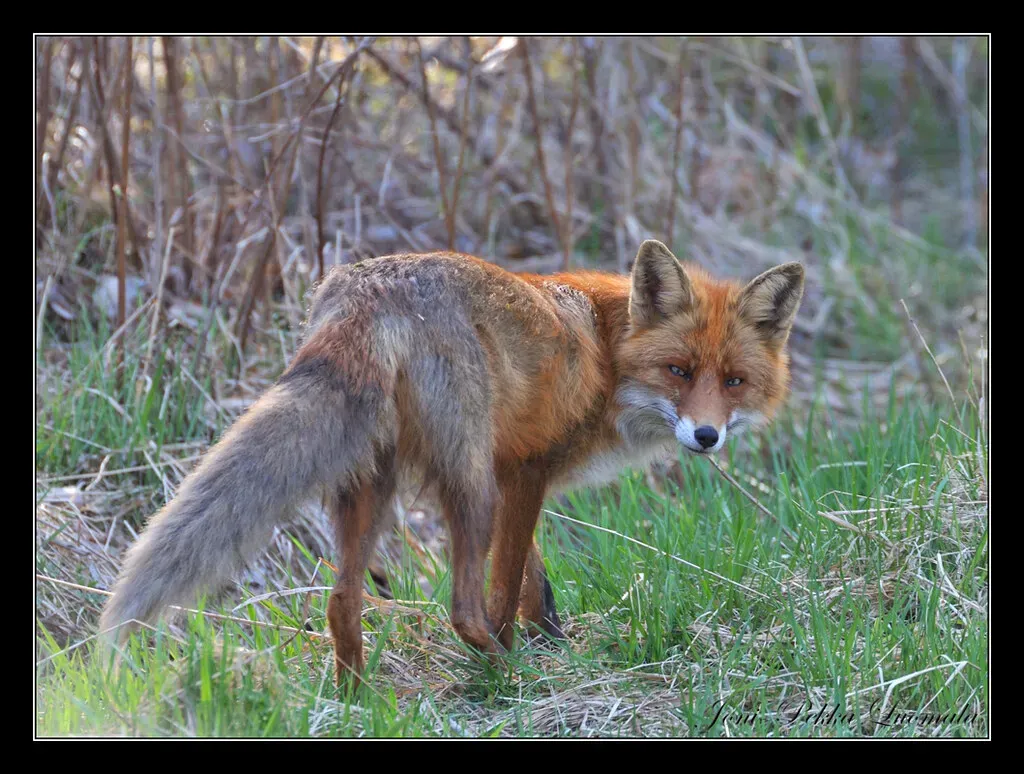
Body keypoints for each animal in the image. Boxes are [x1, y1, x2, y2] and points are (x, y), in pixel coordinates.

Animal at [98, 239, 804, 683]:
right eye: (678, 371)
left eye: (734, 381)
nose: (706, 436)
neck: (606, 351)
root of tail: (365, 289)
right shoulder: (523, 471)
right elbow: (506, 589)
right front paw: (533, 661)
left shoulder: (509, 469)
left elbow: (535, 586)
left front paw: (556, 644)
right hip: (467, 488)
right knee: (461, 610)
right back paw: (507, 675)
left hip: (375, 484)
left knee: (342, 601)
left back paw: (358, 702)